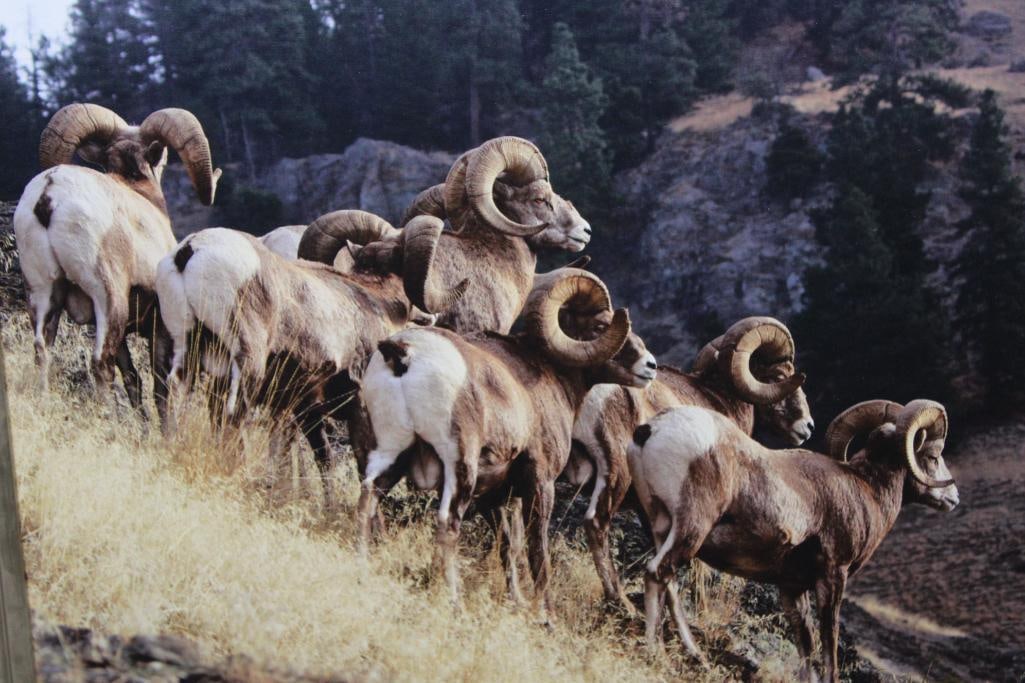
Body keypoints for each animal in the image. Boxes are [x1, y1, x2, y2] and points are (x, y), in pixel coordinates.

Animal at [14, 102, 220, 421]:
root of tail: (48, 194)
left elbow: (133, 378)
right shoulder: (159, 324)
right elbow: (159, 386)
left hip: (43, 294)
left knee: (42, 350)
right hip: (108, 299)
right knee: (100, 362)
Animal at [155, 212, 465, 491]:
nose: (430, 317)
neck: (375, 299)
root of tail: (190, 250)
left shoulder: (305, 407)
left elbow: (317, 456)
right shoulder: (357, 404)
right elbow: (362, 462)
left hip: (187, 349)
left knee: (175, 392)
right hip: (247, 362)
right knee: (233, 415)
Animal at [358, 269, 657, 620]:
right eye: (599, 326)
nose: (650, 366)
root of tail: (404, 353)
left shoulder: (495, 495)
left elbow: (508, 548)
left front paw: (518, 601)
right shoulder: (540, 482)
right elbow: (536, 548)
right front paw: (545, 615)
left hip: (390, 455)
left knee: (366, 501)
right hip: (459, 468)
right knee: (448, 523)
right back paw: (453, 601)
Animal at [627, 399, 959, 681]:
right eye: (932, 456)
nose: (953, 497)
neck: (866, 489)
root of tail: (650, 431)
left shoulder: (792, 587)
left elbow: (806, 642)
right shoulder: (833, 575)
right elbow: (828, 639)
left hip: (659, 527)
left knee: (668, 583)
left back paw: (696, 655)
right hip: (691, 527)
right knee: (657, 573)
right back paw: (655, 652)